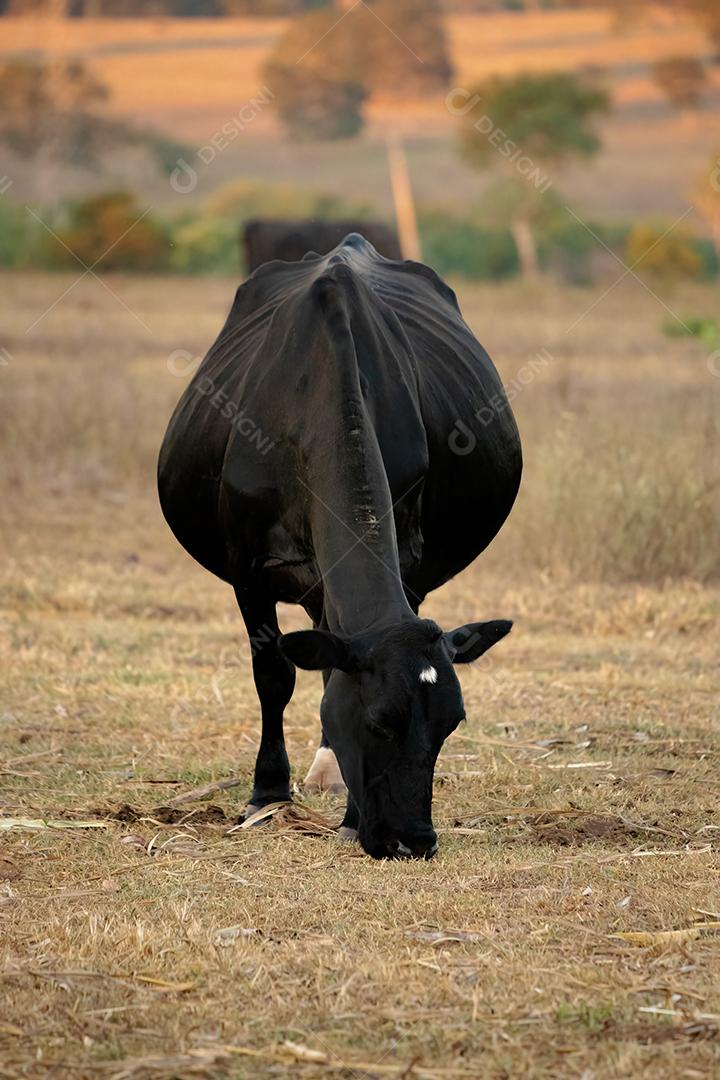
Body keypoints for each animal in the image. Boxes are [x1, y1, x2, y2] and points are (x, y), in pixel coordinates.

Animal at [157, 234, 520, 859]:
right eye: (378, 722)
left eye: (450, 725)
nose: (412, 841)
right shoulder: (246, 568)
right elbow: (273, 674)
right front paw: (266, 794)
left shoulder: (406, 560)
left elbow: (331, 671)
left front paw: (349, 813)